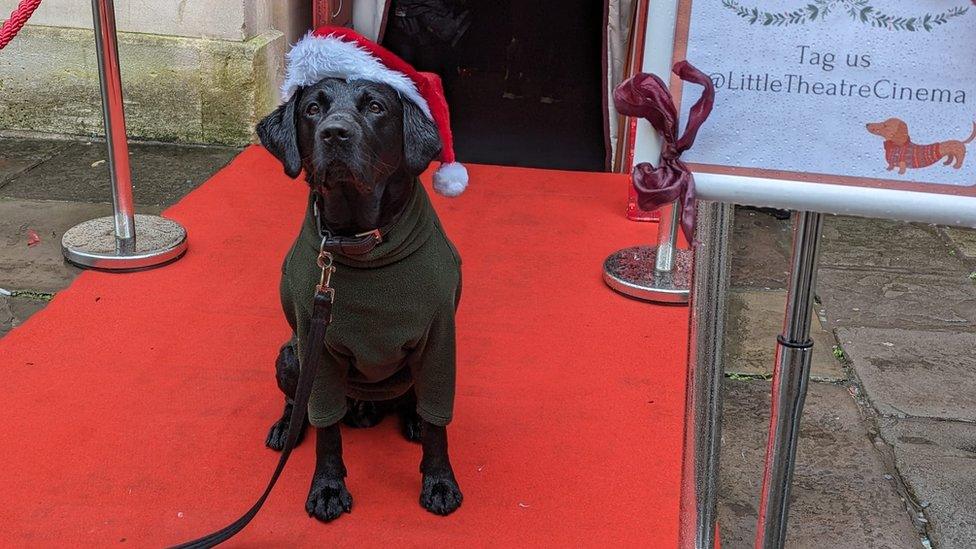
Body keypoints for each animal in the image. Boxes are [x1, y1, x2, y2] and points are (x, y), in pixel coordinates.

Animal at [255, 78, 462, 524]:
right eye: (312, 109)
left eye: (376, 107)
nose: (335, 133)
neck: (359, 239)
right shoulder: (319, 351)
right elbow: (327, 430)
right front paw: (327, 488)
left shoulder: (439, 341)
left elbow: (437, 424)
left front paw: (440, 482)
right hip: (292, 354)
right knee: (297, 403)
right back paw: (287, 427)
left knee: (414, 403)